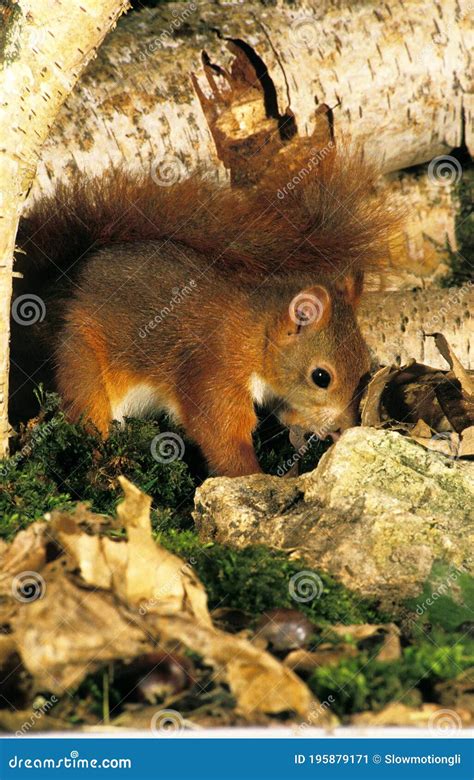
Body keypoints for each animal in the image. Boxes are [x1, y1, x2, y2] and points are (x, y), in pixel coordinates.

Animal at [12, 148, 396, 476]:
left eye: (365, 365)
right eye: (321, 377)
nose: (346, 426)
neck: (253, 334)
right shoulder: (212, 370)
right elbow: (220, 432)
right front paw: (252, 477)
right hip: (80, 361)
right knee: (87, 414)